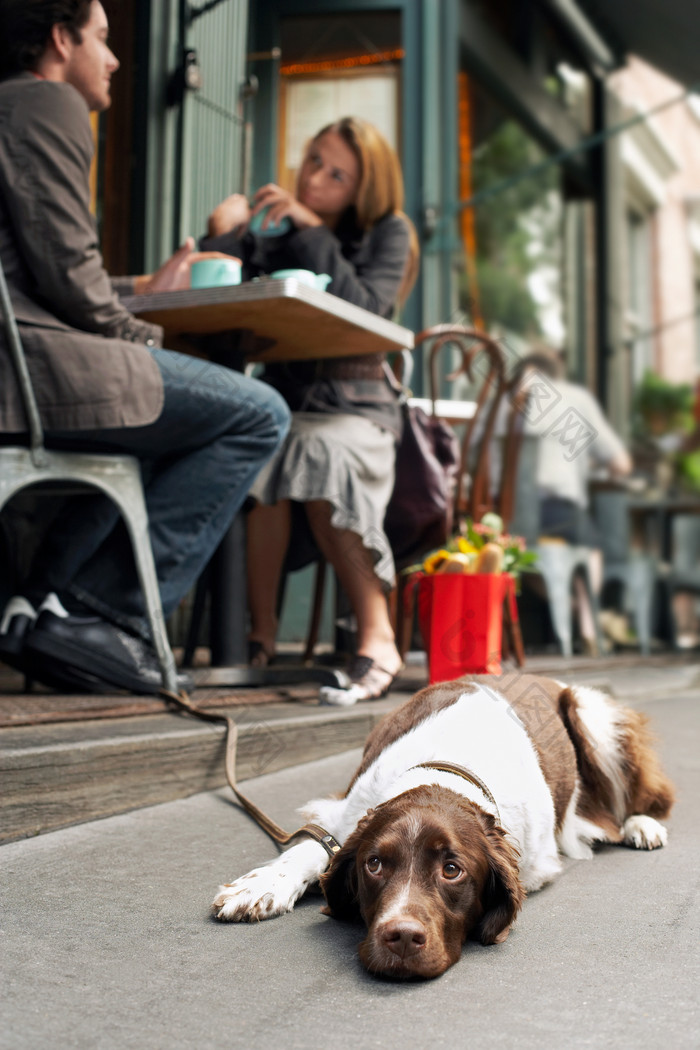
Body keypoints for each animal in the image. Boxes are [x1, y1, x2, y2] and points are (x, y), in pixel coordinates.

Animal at [211, 676, 671, 978]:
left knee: (644, 796)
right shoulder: (345, 809)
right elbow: (312, 847)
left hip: (593, 717)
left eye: (452, 870)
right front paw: (260, 886)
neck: (449, 766)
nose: (401, 936)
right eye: (374, 864)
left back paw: (642, 826)